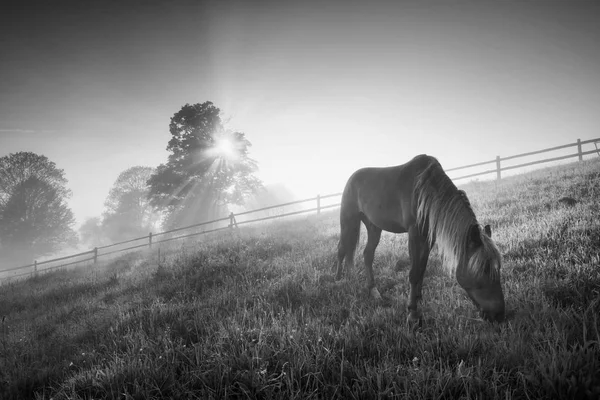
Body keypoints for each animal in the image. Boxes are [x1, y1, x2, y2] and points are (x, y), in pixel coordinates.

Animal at [336, 153, 504, 322]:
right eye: (484, 269)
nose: (498, 314)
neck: (426, 192)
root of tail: (351, 179)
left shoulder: (428, 237)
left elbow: (422, 268)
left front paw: (418, 298)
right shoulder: (415, 234)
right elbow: (414, 273)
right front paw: (412, 314)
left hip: (374, 227)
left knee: (367, 255)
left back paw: (373, 291)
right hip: (349, 222)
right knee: (342, 249)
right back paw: (338, 280)